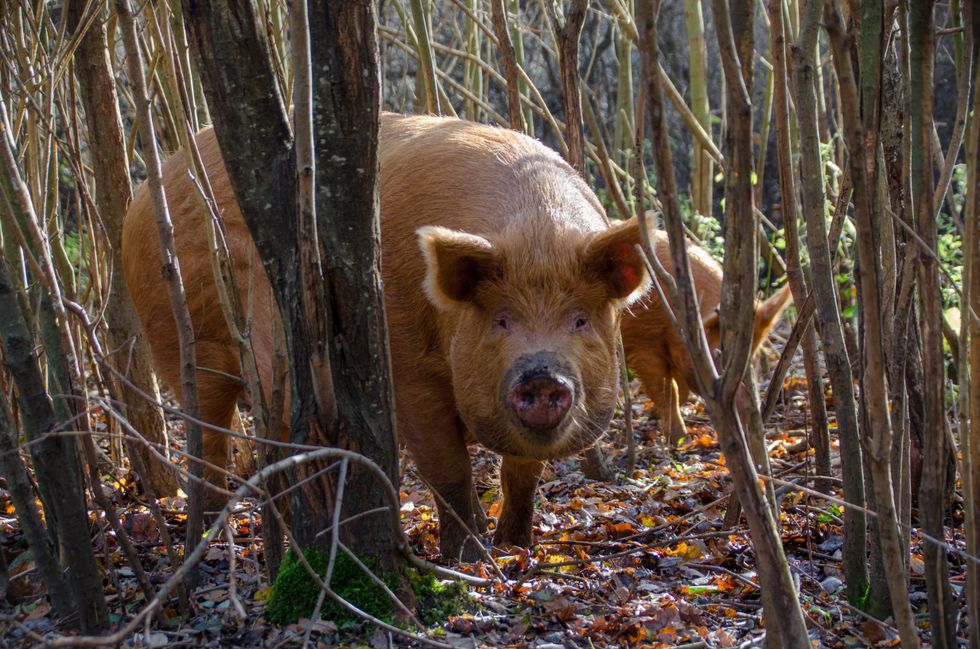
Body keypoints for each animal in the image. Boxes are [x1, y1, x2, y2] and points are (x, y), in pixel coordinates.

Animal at [122, 113, 650, 561]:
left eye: (580, 320)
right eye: (501, 319)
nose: (541, 374)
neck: (535, 234)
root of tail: (147, 187)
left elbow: (522, 473)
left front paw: (514, 548)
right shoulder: (408, 371)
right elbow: (448, 470)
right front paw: (470, 562)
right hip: (186, 338)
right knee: (210, 439)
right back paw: (215, 537)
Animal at [620, 229, 792, 444]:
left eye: (752, 360)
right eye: (718, 354)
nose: (747, 423)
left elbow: (681, 388)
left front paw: (655, 417)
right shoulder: (642, 344)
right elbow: (666, 390)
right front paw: (680, 439)